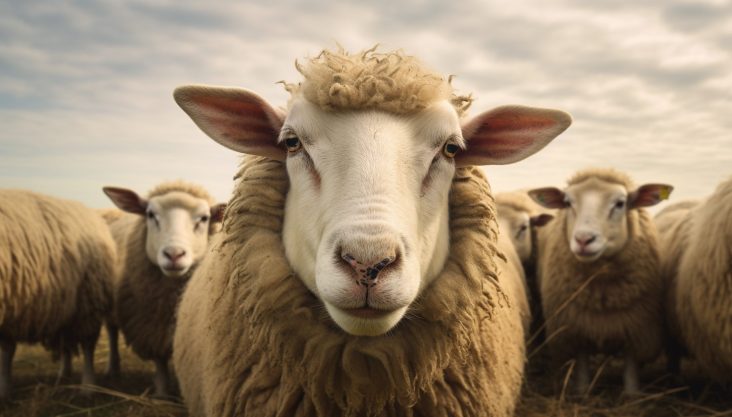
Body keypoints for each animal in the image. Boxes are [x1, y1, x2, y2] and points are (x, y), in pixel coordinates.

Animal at [0, 190, 115, 400]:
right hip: (50, 305)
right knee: (60, 342)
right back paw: (62, 375)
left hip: (88, 300)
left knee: (87, 345)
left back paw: (87, 387)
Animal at [101, 181, 225, 397]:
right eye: (150, 214)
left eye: (204, 218)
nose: (174, 254)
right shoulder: (152, 325)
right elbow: (159, 361)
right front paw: (161, 393)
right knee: (111, 331)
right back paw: (113, 368)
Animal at [528, 168, 673, 395]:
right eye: (567, 202)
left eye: (620, 203)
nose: (583, 240)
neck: (602, 295)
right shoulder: (576, 329)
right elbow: (582, 366)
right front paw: (582, 392)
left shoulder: (636, 328)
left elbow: (630, 369)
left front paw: (632, 395)